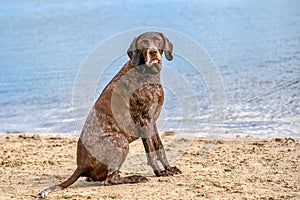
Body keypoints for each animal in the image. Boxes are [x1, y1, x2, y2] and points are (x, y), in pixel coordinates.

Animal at [39, 32, 182, 198]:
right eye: (143, 43)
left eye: (158, 40)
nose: (153, 52)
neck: (145, 71)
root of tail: (80, 166)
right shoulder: (143, 122)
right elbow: (151, 152)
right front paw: (159, 172)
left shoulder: (152, 122)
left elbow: (160, 147)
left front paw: (168, 168)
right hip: (120, 141)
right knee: (109, 180)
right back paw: (133, 177)